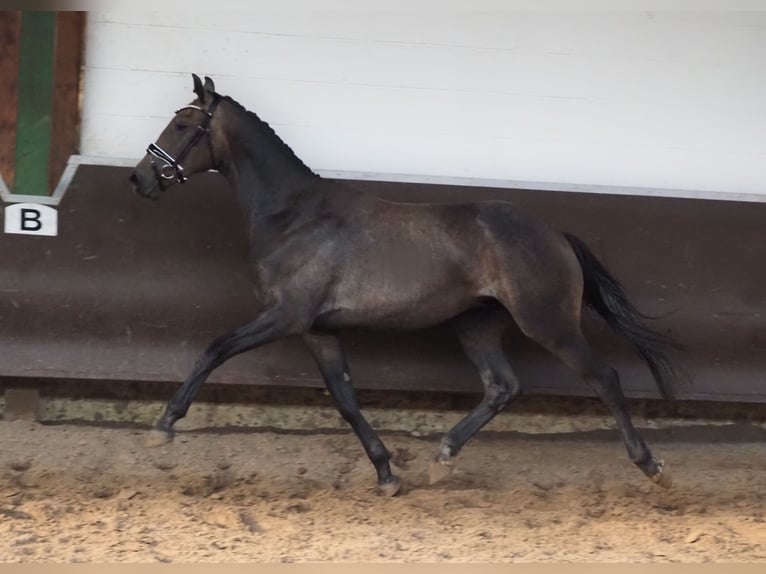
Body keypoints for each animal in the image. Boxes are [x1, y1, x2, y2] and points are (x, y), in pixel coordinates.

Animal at [130, 74, 680, 498]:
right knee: (503, 385)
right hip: (477, 326)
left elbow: (216, 348)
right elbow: (346, 399)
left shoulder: (286, 317)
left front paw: (163, 427)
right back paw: (444, 455)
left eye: (183, 125)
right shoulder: (318, 331)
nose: (140, 179)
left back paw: (652, 467)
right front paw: (387, 474)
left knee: (604, 378)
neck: (295, 216)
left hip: (548, 324)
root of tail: (556, 234)